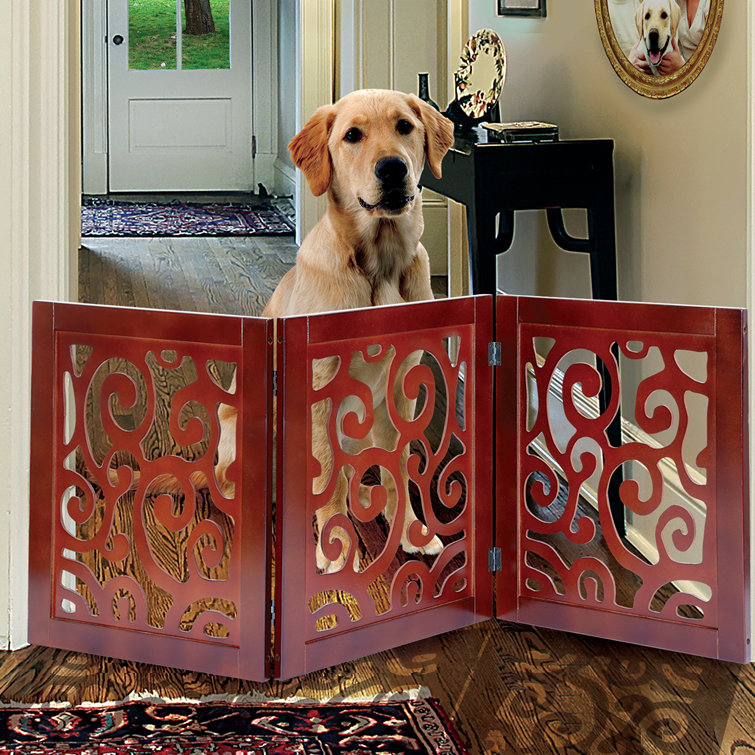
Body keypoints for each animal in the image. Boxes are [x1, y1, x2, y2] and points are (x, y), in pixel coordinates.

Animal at [216, 88, 458, 572]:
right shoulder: (319, 386)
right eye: (352, 136)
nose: (393, 168)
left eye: (406, 126)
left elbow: (397, 467)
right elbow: (326, 470)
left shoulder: (401, 388)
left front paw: (410, 530)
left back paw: (365, 497)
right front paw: (338, 547)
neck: (380, 266)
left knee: (351, 474)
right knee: (232, 486)